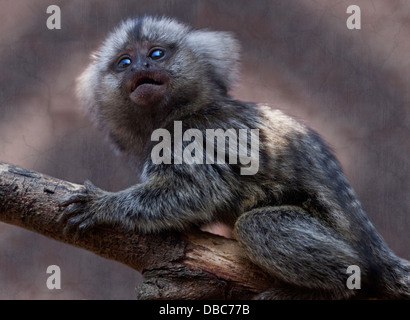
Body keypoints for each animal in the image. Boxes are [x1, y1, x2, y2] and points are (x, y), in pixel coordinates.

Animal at [59, 15, 408, 300]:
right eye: (125, 62)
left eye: (156, 54)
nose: (140, 68)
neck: (179, 112)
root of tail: (376, 251)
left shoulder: (186, 138)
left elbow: (197, 191)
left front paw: (105, 206)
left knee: (259, 225)